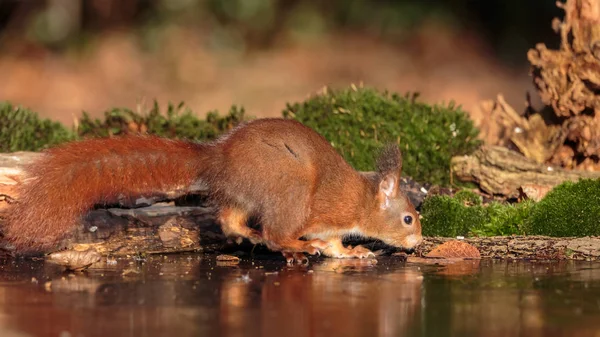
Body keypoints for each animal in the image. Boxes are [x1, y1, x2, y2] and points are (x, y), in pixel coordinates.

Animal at [3, 118, 422, 262]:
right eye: (408, 218)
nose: (418, 242)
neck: (361, 201)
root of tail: (219, 158)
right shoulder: (326, 214)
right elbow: (320, 237)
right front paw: (326, 247)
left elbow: (337, 246)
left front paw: (354, 253)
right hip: (290, 187)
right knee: (275, 231)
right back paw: (293, 246)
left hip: (243, 196)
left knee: (229, 220)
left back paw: (249, 236)